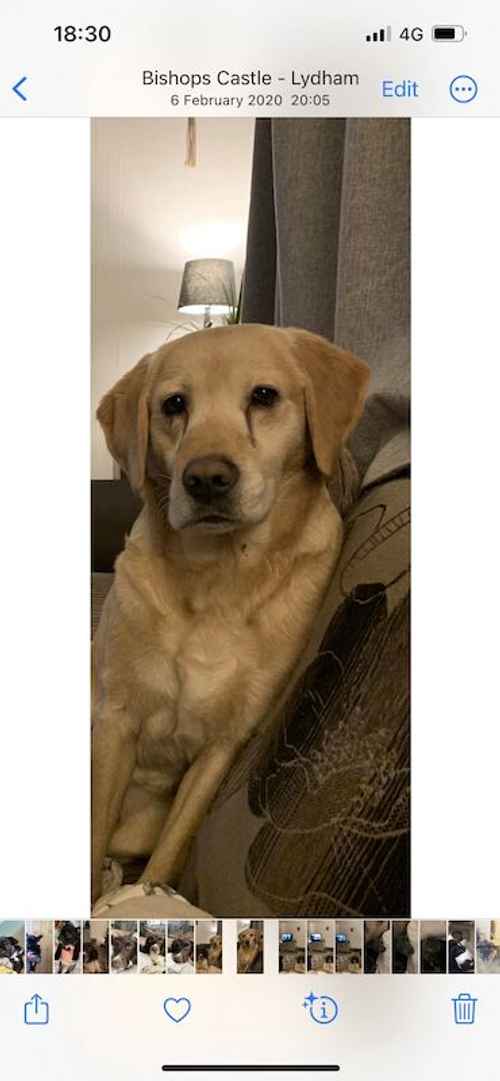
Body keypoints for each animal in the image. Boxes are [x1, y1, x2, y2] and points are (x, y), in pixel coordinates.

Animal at [91, 324, 369, 908]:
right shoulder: (115, 721)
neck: (217, 575)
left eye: (264, 395)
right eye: (174, 404)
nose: (206, 478)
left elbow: (170, 851)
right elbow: (88, 838)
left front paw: (147, 894)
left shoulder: (224, 746)